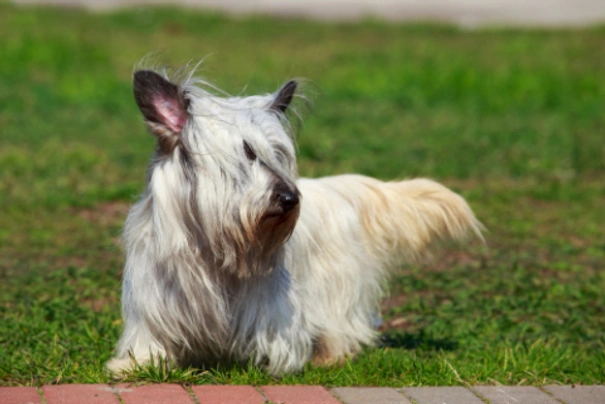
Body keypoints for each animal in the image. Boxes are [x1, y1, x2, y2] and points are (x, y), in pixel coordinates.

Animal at [106, 67, 484, 376]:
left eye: (278, 154)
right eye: (247, 153)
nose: (290, 198)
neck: (212, 248)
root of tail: (336, 189)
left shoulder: (271, 305)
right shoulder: (155, 298)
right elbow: (151, 337)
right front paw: (135, 364)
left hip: (335, 287)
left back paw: (329, 356)